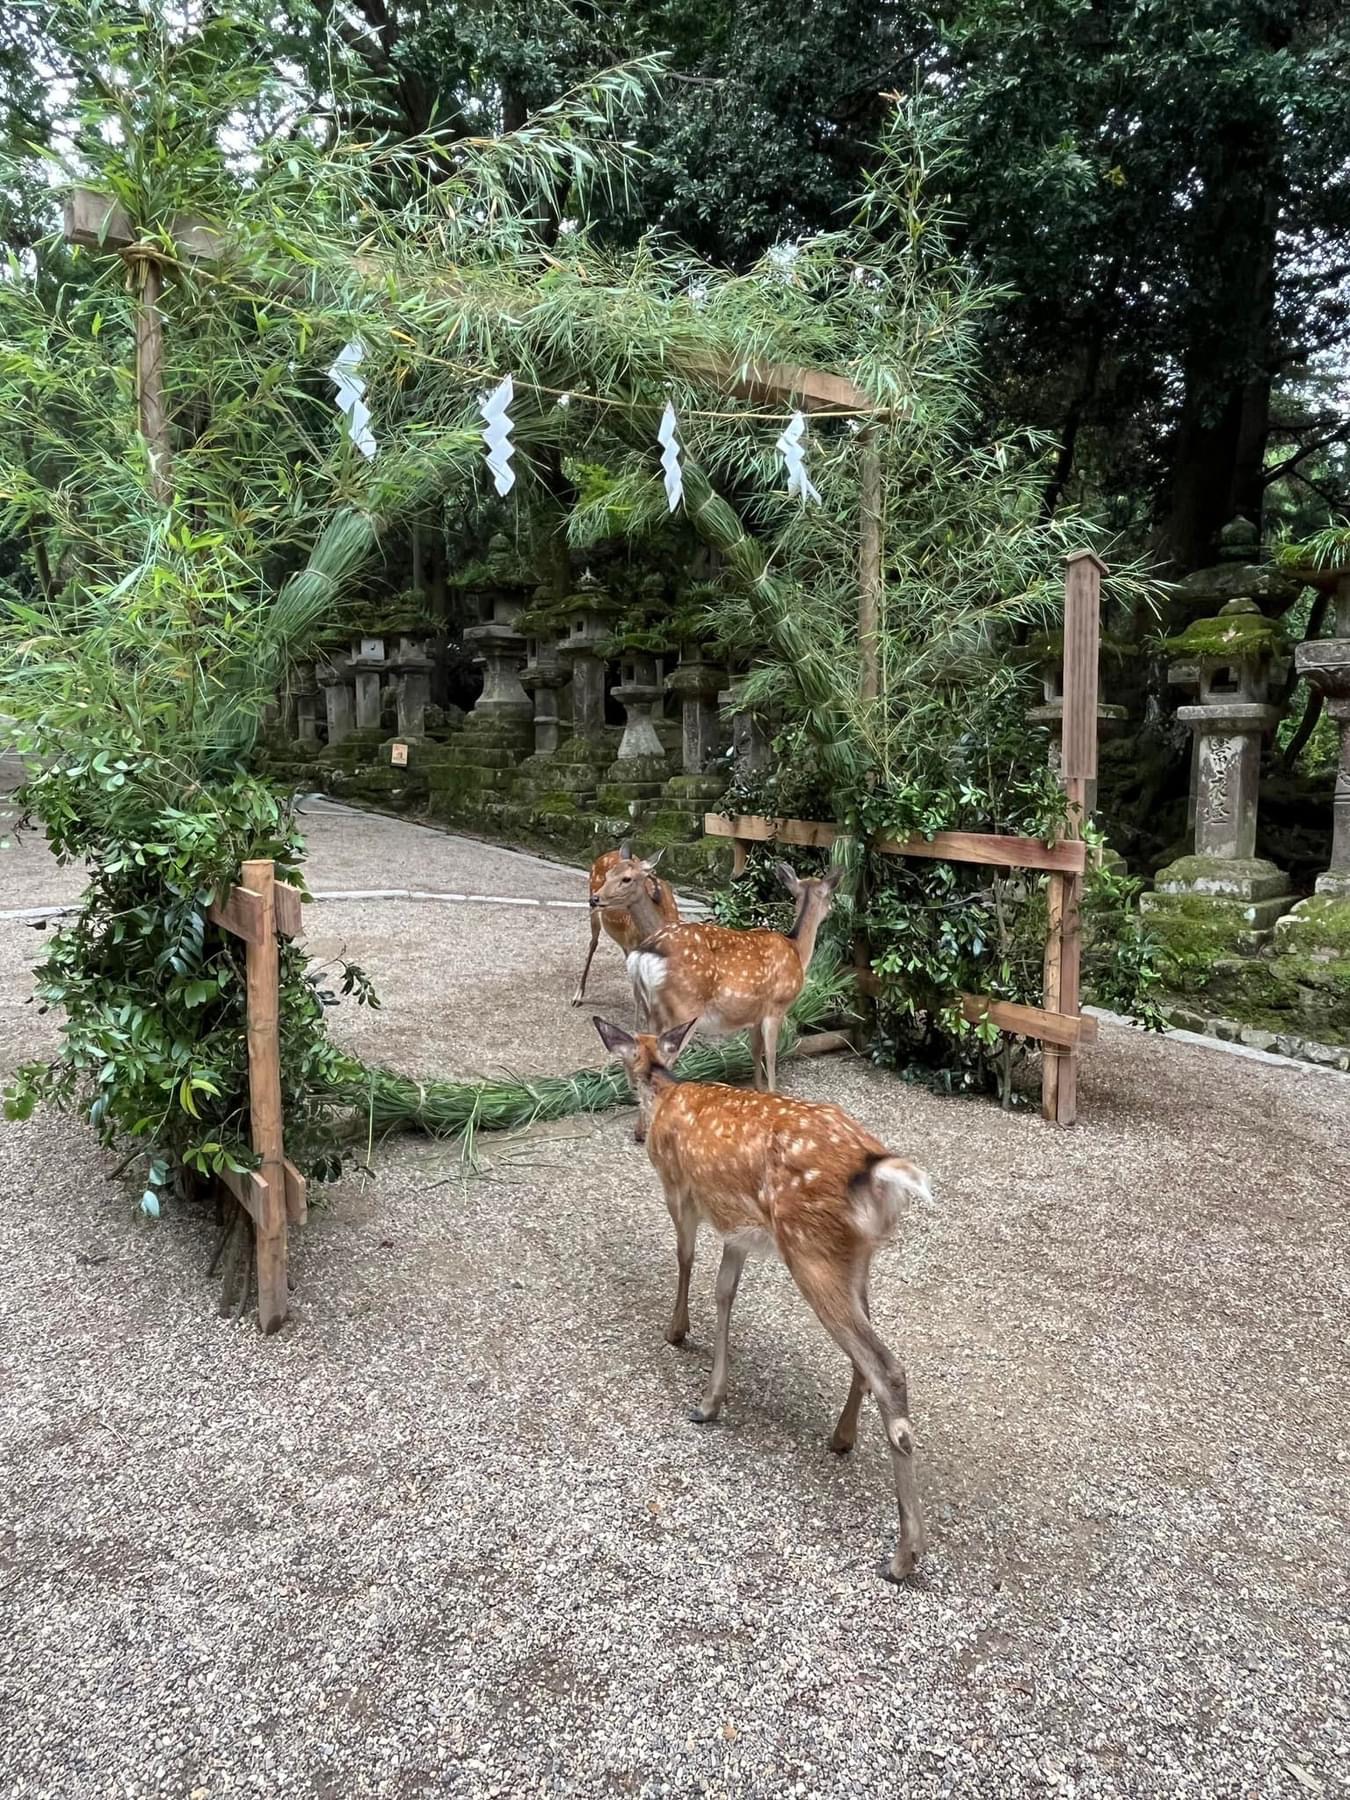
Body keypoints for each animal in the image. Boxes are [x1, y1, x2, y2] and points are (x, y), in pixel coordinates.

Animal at [572, 841, 680, 1008]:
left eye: (627, 879)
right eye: (608, 876)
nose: (595, 899)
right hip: (594, 910)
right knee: (593, 943)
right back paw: (577, 995)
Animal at [591, 858, 842, 1092]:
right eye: (830, 895)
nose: (833, 910)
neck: (796, 950)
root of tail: (645, 953)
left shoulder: (755, 1015)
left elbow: (755, 1051)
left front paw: (758, 1089)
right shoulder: (777, 1006)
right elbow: (771, 1055)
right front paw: (773, 1091)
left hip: (650, 1010)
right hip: (682, 1010)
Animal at [592, 1014, 933, 1582]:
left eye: (621, 1061)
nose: (636, 1133)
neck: (666, 1091)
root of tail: (877, 1171)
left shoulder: (680, 1190)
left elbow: (685, 1259)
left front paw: (676, 1333)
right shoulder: (738, 1230)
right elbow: (724, 1293)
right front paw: (711, 1398)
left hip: (809, 1249)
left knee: (888, 1367)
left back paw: (903, 1555)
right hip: (855, 1259)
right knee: (867, 1355)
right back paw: (841, 1437)